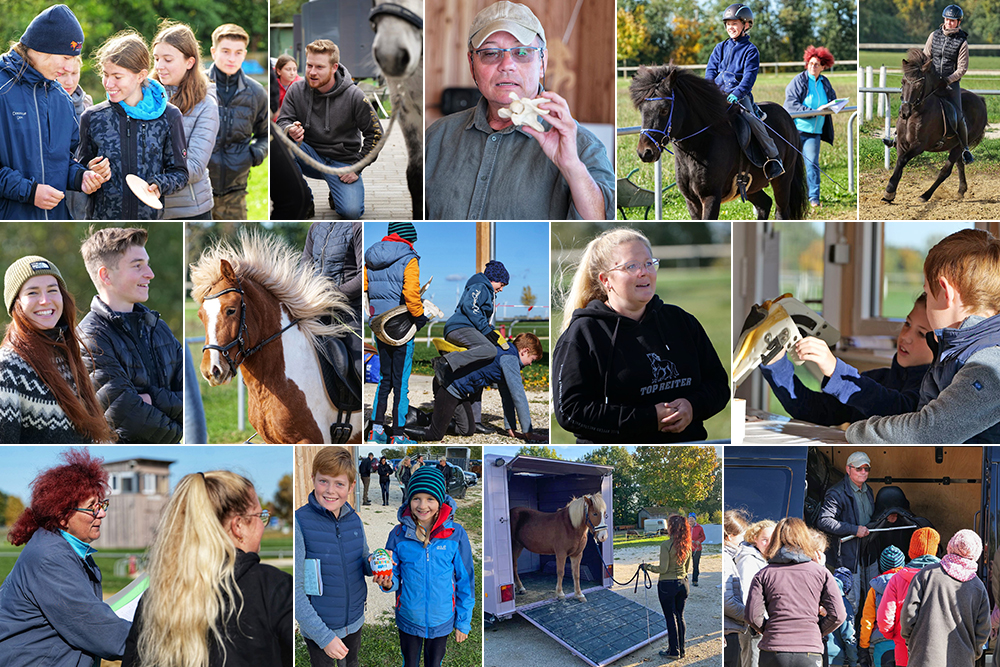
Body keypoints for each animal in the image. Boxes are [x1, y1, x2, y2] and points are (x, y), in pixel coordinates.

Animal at [628, 63, 808, 219]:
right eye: (642, 110)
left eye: (664, 109)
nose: (645, 152)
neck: (699, 145)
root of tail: (787, 116)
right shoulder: (691, 201)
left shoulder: (711, 198)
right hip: (751, 186)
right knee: (764, 204)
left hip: (783, 180)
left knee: (781, 212)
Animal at [884, 48, 984, 204]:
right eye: (903, 82)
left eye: (919, 86)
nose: (904, 112)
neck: (916, 113)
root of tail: (980, 99)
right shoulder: (901, 143)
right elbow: (899, 165)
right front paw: (891, 193)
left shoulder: (919, 145)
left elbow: (902, 160)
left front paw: (889, 191)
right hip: (954, 146)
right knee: (959, 165)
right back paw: (961, 190)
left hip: (959, 146)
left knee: (945, 171)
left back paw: (925, 195)